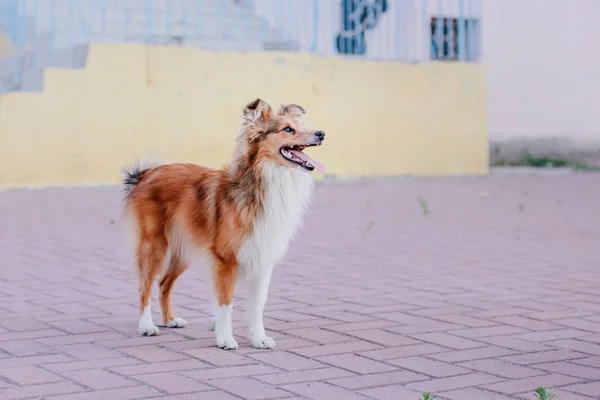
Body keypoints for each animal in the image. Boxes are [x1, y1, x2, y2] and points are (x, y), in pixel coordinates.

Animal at [120, 98, 324, 348]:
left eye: (300, 126)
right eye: (287, 129)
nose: (321, 134)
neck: (263, 183)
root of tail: (145, 174)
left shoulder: (262, 260)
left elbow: (257, 307)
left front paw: (259, 339)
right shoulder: (226, 261)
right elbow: (226, 304)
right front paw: (226, 339)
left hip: (184, 250)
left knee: (164, 283)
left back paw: (169, 320)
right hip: (154, 245)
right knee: (145, 286)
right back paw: (146, 326)